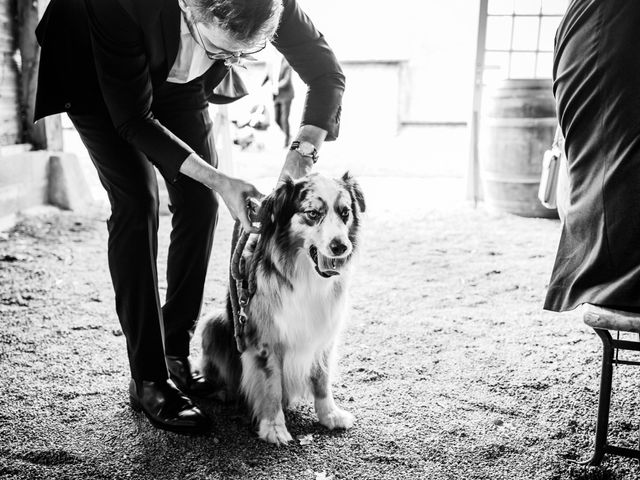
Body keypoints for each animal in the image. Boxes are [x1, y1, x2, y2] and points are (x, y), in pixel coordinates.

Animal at [202, 172, 368, 442]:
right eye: (313, 213)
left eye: (345, 212)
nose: (341, 247)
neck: (307, 276)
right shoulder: (266, 341)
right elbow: (271, 386)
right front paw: (274, 428)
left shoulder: (324, 335)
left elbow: (322, 379)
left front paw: (330, 415)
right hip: (212, 322)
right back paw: (225, 392)